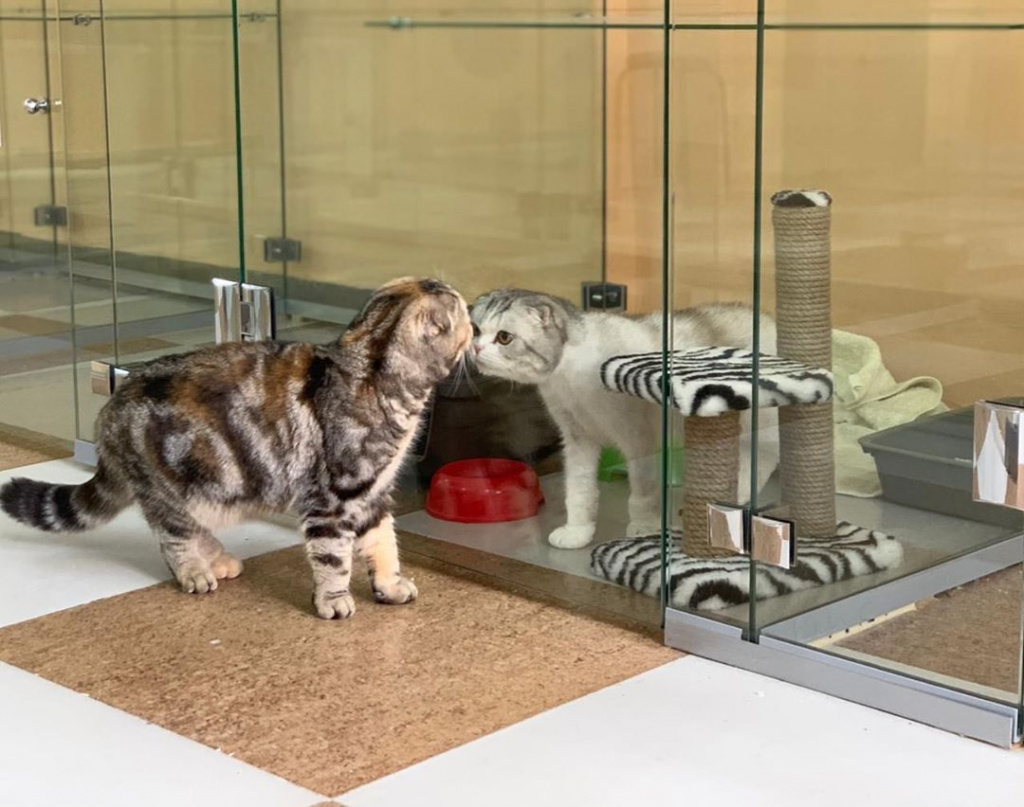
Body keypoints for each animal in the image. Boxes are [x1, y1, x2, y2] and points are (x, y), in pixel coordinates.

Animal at [0, 276, 471, 618]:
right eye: (465, 311)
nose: (476, 321)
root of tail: (110, 404)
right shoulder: (330, 501)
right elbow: (333, 557)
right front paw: (333, 600)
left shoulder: (373, 494)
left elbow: (383, 544)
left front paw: (389, 585)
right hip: (172, 489)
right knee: (172, 536)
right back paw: (195, 572)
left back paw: (219, 560)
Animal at [468, 292, 774, 553]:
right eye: (475, 330)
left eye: (504, 337)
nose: (475, 348)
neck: (569, 379)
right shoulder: (577, 440)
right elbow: (578, 491)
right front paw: (577, 531)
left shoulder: (639, 441)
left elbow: (642, 494)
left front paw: (644, 527)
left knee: (765, 462)